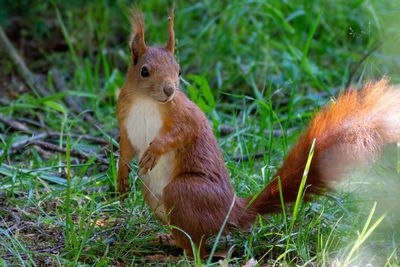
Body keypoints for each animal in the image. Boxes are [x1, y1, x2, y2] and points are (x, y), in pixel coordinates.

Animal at [115, 9, 400, 258]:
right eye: (144, 71)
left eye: (179, 70)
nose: (169, 90)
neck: (146, 102)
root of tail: (232, 211)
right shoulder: (124, 118)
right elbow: (125, 148)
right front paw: (121, 180)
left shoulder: (184, 114)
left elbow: (184, 132)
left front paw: (155, 150)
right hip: (153, 196)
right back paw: (166, 240)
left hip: (184, 192)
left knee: (200, 247)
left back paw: (179, 254)